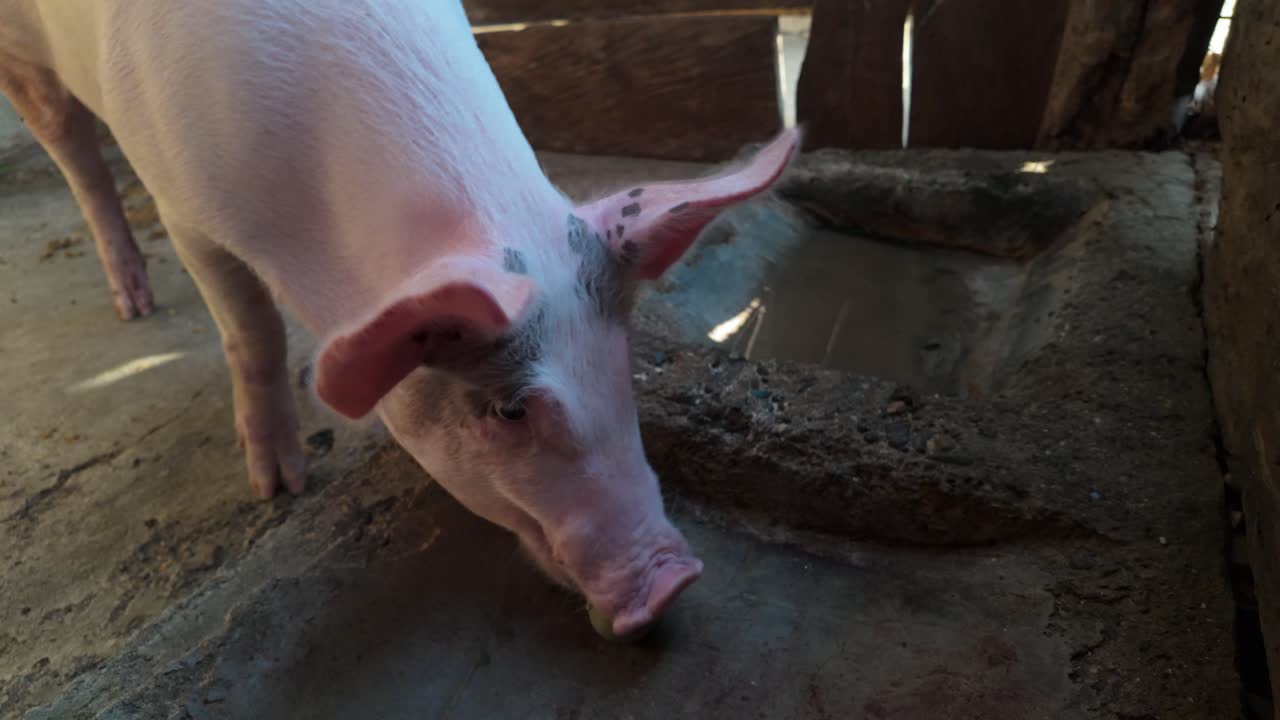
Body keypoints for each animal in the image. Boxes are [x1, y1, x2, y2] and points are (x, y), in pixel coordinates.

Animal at [0, 0, 798, 637]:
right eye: (510, 411)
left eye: (621, 366)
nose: (677, 576)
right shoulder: (185, 212)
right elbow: (252, 333)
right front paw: (279, 487)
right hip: (26, 57)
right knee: (73, 151)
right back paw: (133, 304)